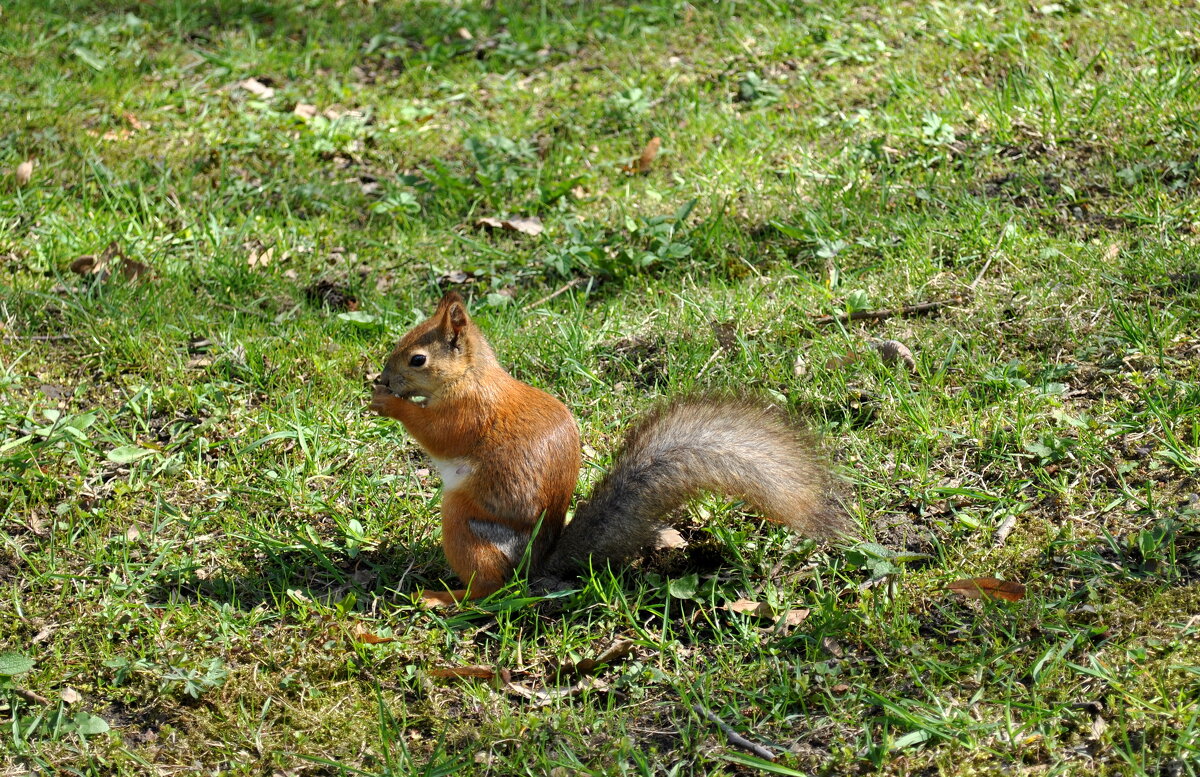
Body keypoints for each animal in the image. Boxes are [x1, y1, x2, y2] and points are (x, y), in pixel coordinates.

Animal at [369, 291, 847, 606]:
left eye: (417, 359)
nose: (384, 378)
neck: (470, 376)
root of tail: (532, 567)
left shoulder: (469, 413)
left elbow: (438, 433)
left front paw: (388, 403)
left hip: (466, 530)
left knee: (487, 590)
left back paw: (442, 597)